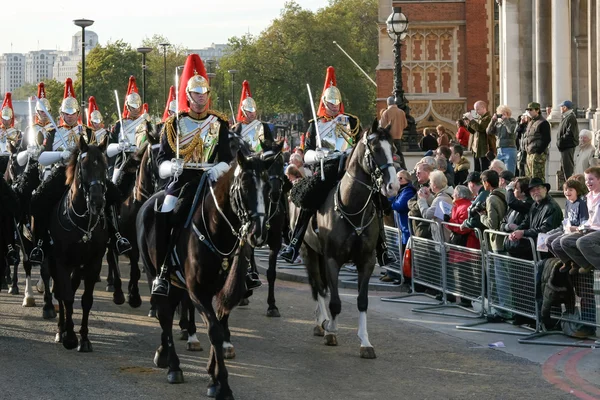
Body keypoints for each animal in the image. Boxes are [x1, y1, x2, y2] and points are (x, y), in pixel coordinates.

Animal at [49, 137, 109, 350]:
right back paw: (61, 330)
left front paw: (84, 338)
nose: (97, 201)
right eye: (84, 165)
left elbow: (86, 300)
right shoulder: (61, 262)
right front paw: (69, 336)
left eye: (105, 166)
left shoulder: (94, 263)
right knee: (59, 292)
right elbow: (66, 297)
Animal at [138, 152, 270, 398]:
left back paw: (164, 353)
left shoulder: (219, 290)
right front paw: (222, 384)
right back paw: (173, 366)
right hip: (154, 274)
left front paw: (213, 377)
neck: (217, 230)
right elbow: (214, 330)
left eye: (268, 187)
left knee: (168, 311)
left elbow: (219, 324)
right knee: (164, 314)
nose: (258, 233)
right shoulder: (197, 291)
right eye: (244, 186)